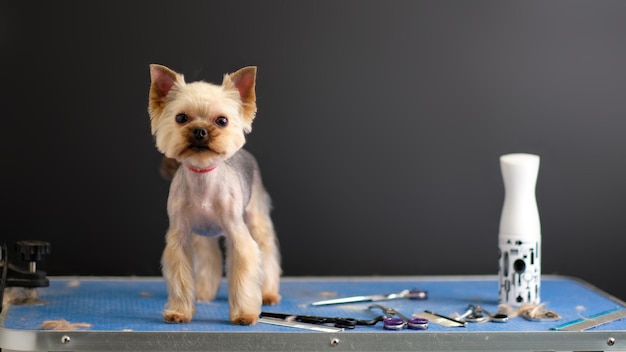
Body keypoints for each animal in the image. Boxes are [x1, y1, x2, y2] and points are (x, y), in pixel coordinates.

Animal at [147, 64, 280, 324]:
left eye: (222, 121)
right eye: (181, 118)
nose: (200, 131)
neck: (202, 175)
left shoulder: (238, 235)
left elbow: (244, 273)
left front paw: (244, 314)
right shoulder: (180, 236)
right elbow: (181, 276)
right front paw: (180, 312)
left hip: (256, 218)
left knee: (267, 251)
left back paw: (269, 293)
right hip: (202, 233)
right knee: (208, 255)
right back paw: (204, 292)